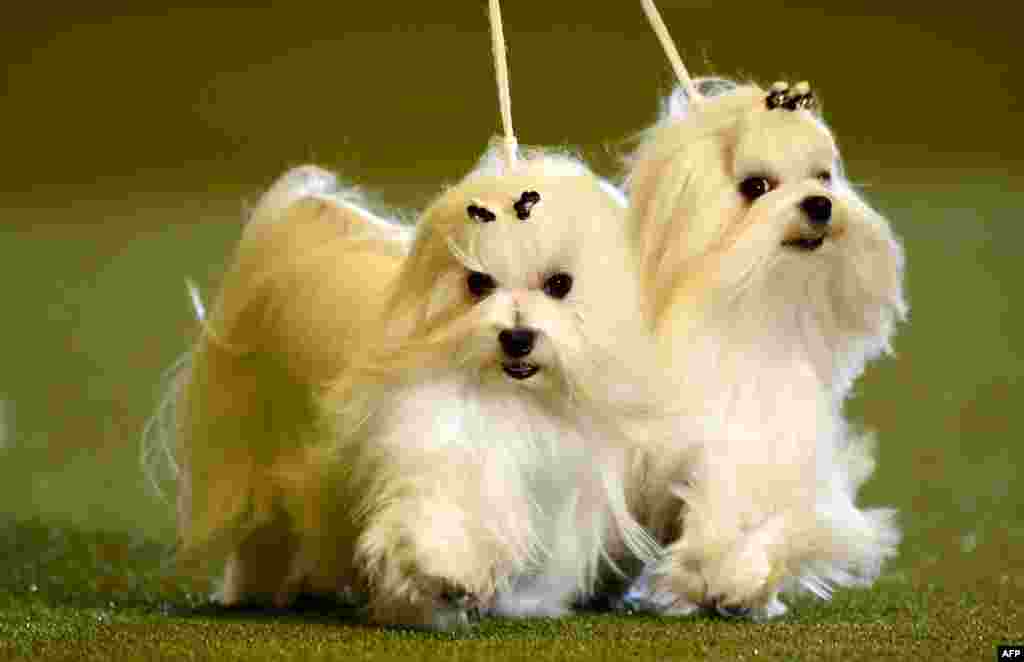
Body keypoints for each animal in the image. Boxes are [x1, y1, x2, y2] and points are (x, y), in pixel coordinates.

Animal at [618, 0, 909, 623]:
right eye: (755, 186)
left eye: (823, 175)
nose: (820, 205)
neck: (742, 316)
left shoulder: (762, 445)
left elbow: (764, 520)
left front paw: (736, 580)